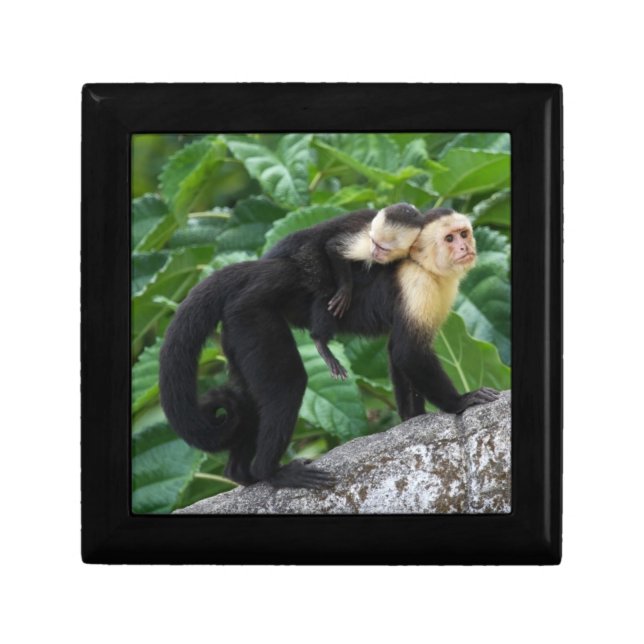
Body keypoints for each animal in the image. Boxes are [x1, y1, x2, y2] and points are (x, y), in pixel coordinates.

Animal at [264, 202, 424, 379]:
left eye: (383, 248)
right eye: (374, 243)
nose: (374, 252)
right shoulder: (365, 239)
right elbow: (333, 248)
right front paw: (346, 289)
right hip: (306, 254)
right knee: (325, 287)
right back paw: (320, 341)